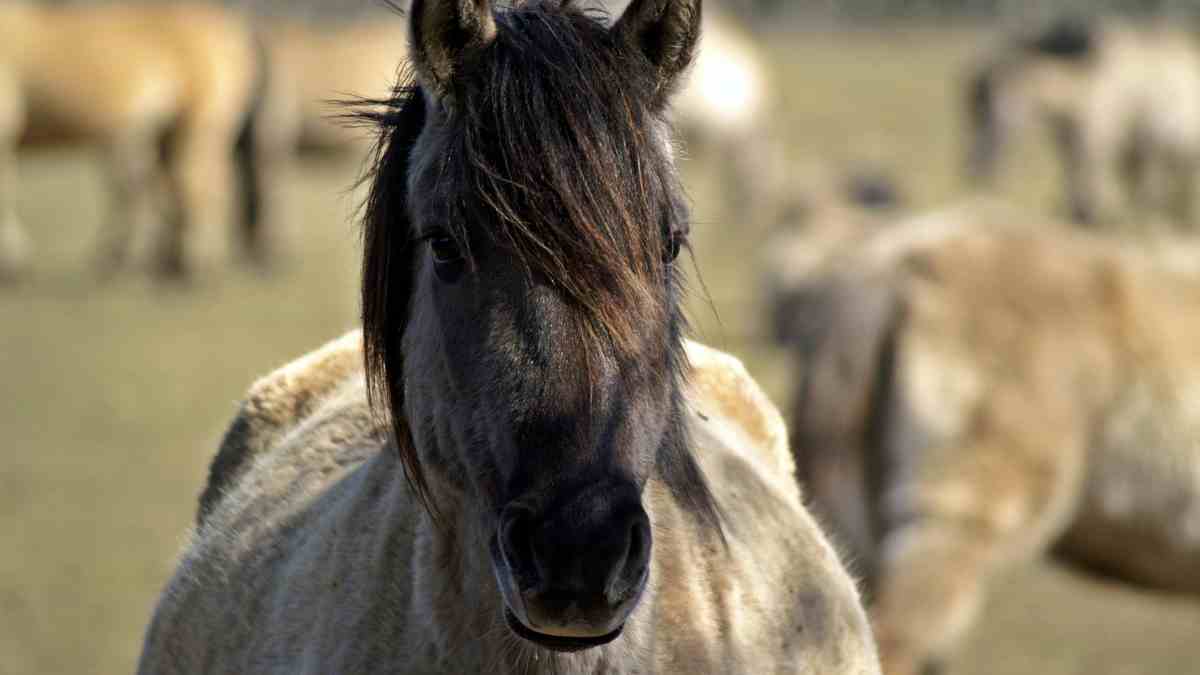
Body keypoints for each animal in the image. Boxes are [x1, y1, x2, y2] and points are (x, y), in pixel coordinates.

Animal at [0, 0, 265, 278]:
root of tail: (230, 30)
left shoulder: (5, 119)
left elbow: (5, 189)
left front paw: (11, 260)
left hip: (198, 126)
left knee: (197, 186)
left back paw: (189, 262)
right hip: (168, 135)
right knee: (174, 188)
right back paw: (165, 259)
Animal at [960, 17, 1200, 229]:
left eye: (990, 107)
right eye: (972, 109)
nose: (973, 168)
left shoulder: (1095, 142)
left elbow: (1087, 187)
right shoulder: (1071, 144)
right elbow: (1074, 185)